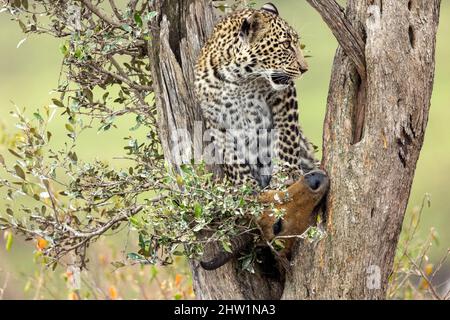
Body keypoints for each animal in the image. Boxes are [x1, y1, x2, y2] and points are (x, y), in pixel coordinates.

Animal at [195, 1, 318, 190]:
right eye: (286, 44)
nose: (304, 69)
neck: (238, 79)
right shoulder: (215, 118)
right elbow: (230, 154)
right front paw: (244, 187)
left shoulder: (285, 97)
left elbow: (286, 136)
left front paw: (288, 173)